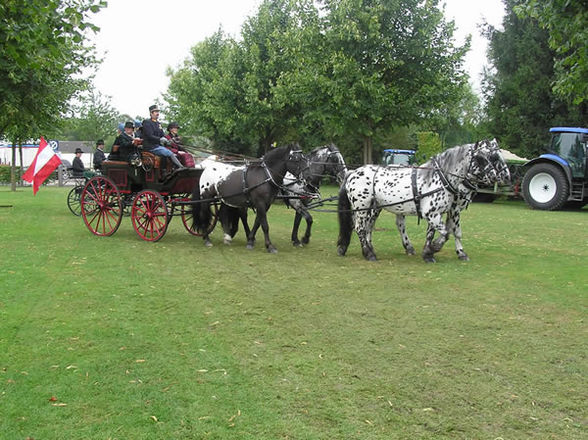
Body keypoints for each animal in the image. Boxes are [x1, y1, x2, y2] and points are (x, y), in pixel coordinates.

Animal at [338, 140, 512, 262]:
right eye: (480, 158)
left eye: (491, 157)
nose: (501, 176)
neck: (441, 178)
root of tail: (353, 173)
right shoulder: (438, 213)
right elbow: (448, 232)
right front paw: (437, 248)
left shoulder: (440, 213)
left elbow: (437, 232)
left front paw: (428, 253)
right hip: (362, 207)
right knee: (360, 228)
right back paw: (369, 253)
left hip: (375, 207)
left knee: (374, 226)